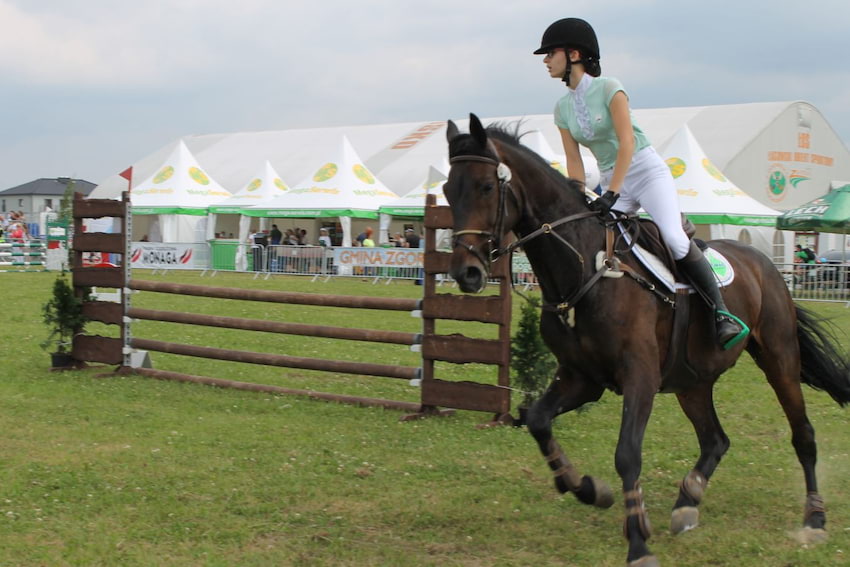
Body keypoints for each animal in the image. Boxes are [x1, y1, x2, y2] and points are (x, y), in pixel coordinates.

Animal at [440, 115, 848, 567]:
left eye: (486, 187)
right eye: (447, 190)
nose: (466, 273)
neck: (584, 268)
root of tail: (766, 264)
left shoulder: (640, 377)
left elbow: (627, 453)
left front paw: (637, 541)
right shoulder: (582, 378)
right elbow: (538, 420)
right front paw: (587, 488)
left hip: (779, 357)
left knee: (803, 434)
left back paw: (814, 519)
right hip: (692, 380)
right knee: (716, 439)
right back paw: (687, 502)